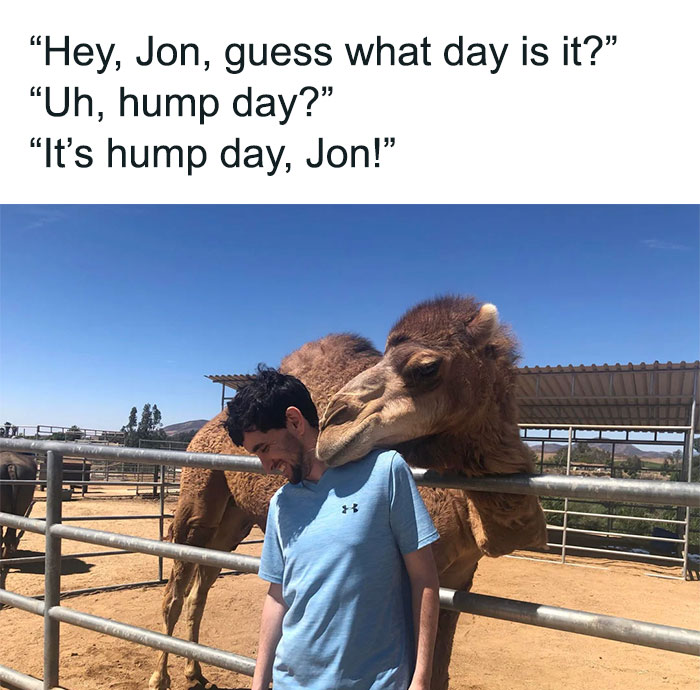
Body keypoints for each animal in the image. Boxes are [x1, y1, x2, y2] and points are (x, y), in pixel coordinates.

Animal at [152, 298, 548, 688]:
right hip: (199, 490)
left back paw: (195, 672)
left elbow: (439, 672)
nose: (332, 423)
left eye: (427, 368)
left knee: (201, 585)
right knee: (175, 587)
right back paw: (160, 677)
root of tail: (204, 430)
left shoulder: (459, 579)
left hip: (233, 521)